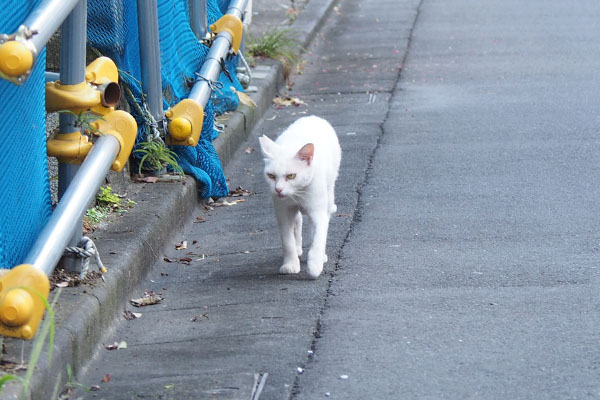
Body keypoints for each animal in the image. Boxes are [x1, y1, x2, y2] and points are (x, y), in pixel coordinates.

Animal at [258, 115, 342, 278]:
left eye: (291, 176)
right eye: (271, 176)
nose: (278, 189)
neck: (297, 194)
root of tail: (312, 117)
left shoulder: (318, 212)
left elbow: (318, 237)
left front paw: (315, 265)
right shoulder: (283, 212)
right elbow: (287, 240)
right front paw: (290, 264)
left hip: (328, 193)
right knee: (298, 222)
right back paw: (298, 248)